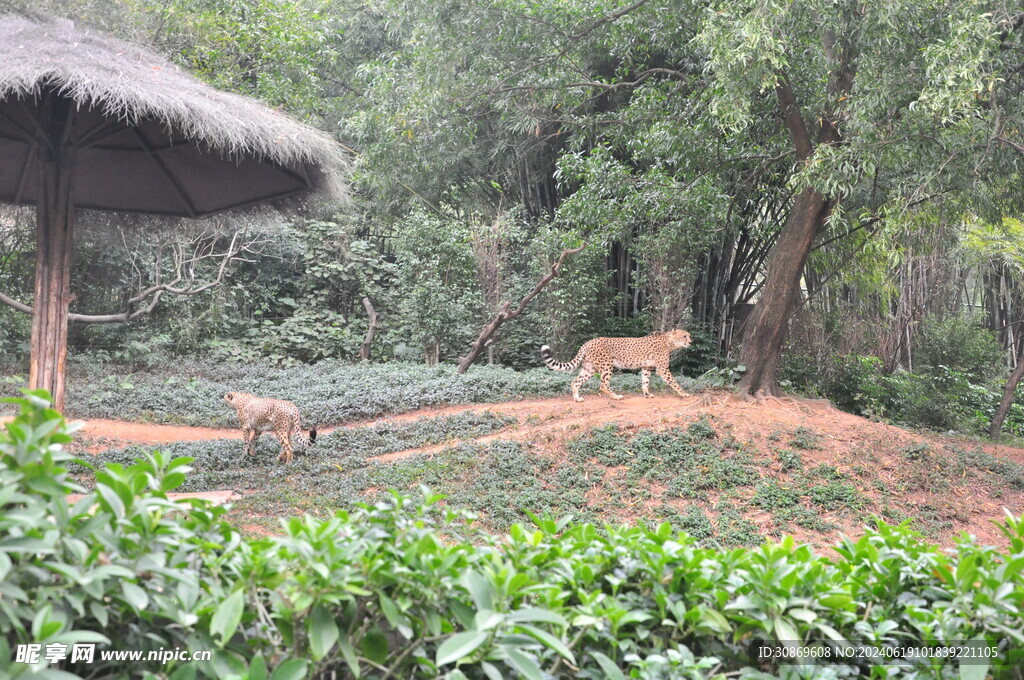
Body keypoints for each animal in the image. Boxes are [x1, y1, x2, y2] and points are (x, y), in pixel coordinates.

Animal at [540, 329, 692, 401]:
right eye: (684, 336)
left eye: (688, 335)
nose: (690, 342)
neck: (669, 342)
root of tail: (589, 341)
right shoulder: (662, 369)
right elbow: (674, 382)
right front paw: (684, 393)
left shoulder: (647, 367)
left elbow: (645, 381)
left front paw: (647, 394)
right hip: (607, 365)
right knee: (603, 385)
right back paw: (615, 396)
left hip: (589, 368)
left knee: (575, 382)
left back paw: (577, 399)